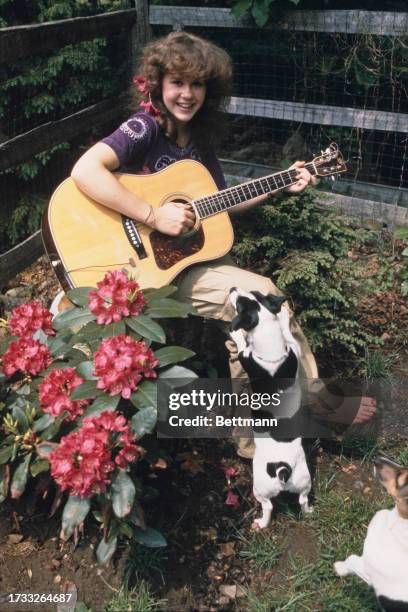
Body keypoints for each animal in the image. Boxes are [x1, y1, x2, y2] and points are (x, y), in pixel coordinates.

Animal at [230, 290, 312, 528]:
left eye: (240, 304)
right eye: (257, 294)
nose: (232, 288)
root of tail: (282, 468)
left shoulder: (245, 355)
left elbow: (241, 343)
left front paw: (236, 332)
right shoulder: (293, 348)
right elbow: (289, 334)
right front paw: (283, 316)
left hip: (260, 487)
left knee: (268, 506)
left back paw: (261, 523)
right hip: (304, 481)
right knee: (303, 500)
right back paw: (309, 511)